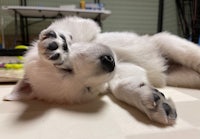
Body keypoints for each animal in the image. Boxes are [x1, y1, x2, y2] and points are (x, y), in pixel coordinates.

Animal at [4, 16, 200, 125]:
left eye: (66, 68)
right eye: (87, 89)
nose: (109, 62)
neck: (118, 60)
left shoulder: (84, 24)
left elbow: (72, 26)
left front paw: (55, 44)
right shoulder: (119, 75)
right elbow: (121, 86)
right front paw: (152, 101)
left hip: (169, 43)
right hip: (181, 77)